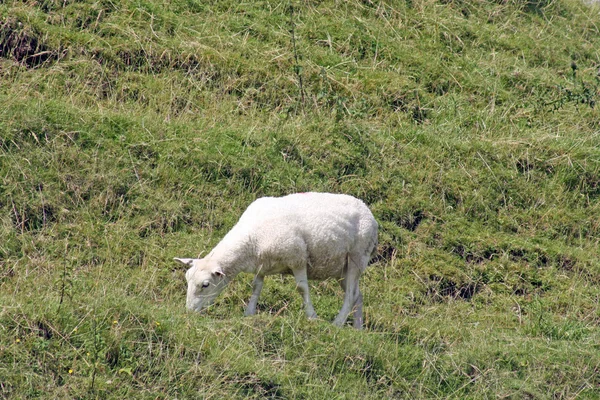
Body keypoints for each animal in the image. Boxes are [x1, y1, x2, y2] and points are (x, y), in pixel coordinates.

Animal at [175, 191, 380, 328]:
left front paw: (311, 316)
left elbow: (302, 288)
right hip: (341, 267)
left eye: (205, 284)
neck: (252, 239)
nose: (189, 312)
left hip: (357, 256)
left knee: (351, 295)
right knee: (358, 295)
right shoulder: (262, 264)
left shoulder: (297, 258)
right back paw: (357, 328)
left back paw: (337, 323)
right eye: (187, 280)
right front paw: (249, 313)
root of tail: (368, 211)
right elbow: (256, 287)